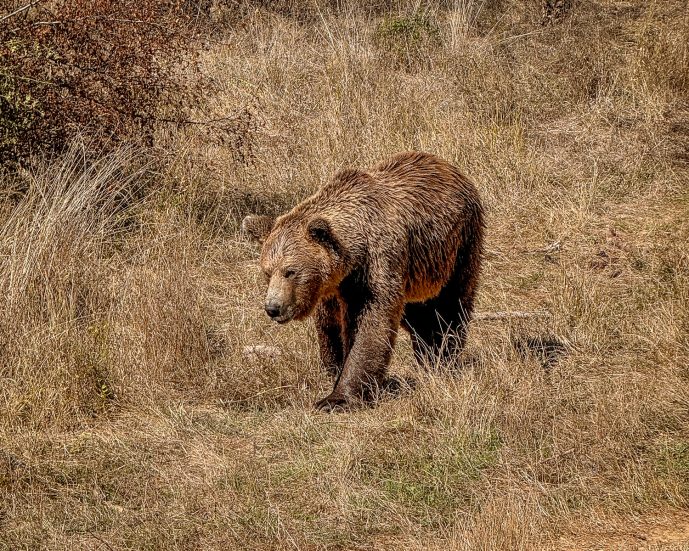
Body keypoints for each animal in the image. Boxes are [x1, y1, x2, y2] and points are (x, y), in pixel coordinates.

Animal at [242, 151, 484, 412]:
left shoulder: (376, 267)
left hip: (458, 247)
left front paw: (337, 398)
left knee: (451, 306)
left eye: (290, 271)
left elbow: (369, 324)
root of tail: (448, 166)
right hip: (417, 273)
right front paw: (333, 367)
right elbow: (330, 326)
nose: (273, 308)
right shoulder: (334, 288)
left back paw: (441, 356)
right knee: (418, 313)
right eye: (267, 272)